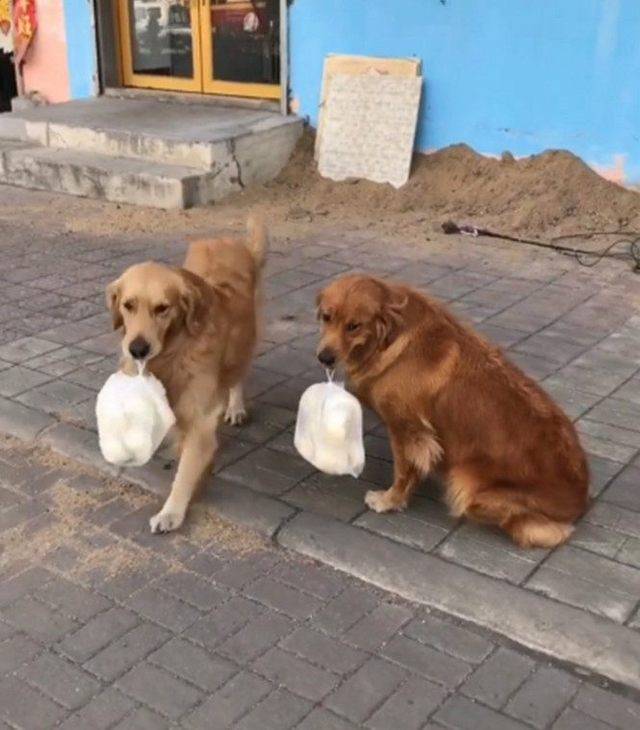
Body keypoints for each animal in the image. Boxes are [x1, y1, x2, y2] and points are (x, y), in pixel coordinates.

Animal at [106, 215, 266, 528]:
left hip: (245, 340)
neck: (174, 353)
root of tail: (225, 240)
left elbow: (185, 472)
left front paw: (171, 512)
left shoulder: (201, 421)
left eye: (162, 308)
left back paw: (235, 406)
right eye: (128, 305)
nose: (138, 349)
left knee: (237, 375)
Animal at [316, 272, 592, 544]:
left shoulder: (406, 428)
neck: (389, 338)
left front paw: (390, 500)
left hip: (465, 484)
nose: (324, 358)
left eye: (354, 326)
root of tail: (581, 499)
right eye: (327, 317)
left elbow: (404, 471)